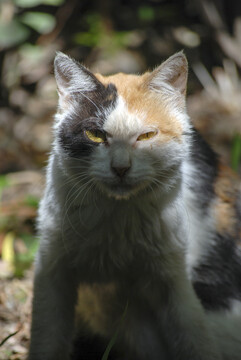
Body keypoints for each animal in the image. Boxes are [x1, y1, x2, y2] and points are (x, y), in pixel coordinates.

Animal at [28, 51, 241, 360]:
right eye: (95, 135)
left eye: (146, 136)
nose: (120, 168)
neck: (117, 220)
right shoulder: (52, 267)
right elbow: (47, 339)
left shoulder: (173, 279)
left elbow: (194, 337)